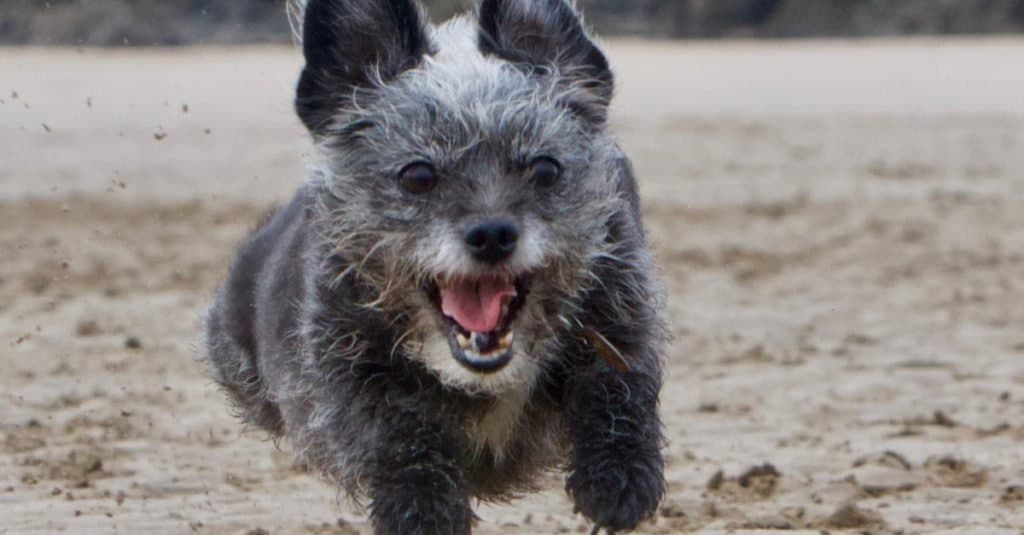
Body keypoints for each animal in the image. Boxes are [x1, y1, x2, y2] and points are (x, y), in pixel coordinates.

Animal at [206, 1, 667, 528]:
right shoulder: (353, 377)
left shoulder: (620, 307)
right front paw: (421, 509)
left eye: (545, 168)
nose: (492, 234)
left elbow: (616, 382)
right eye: (418, 175)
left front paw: (617, 474)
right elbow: (397, 435)